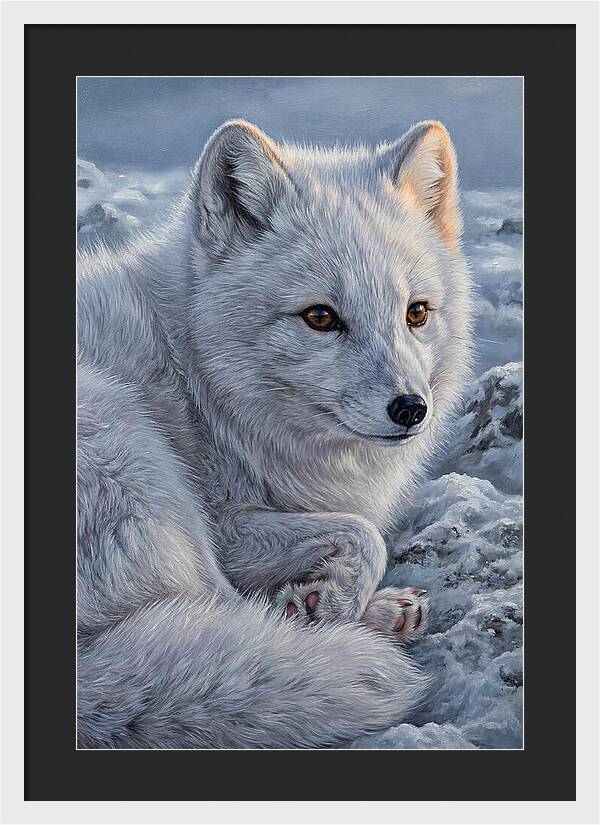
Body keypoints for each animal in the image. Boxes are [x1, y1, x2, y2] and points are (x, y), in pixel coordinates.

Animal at [76, 118, 472, 748]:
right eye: (320, 317)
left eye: (416, 313)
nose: (412, 409)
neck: (196, 377)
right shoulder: (224, 523)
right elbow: (366, 534)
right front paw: (330, 602)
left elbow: (356, 533)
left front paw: (325, 598)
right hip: (131, 450)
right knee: (222, 611)